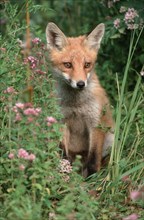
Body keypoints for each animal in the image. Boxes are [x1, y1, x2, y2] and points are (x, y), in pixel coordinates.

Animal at [45, 22, 114, 177]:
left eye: (87, 65)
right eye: (68, 65)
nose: (81, 84)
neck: (76, 104)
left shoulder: (95, 124)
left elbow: (93, 160)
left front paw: (92, 178)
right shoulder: (62, 122)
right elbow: (64, 156)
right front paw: (65, 173)